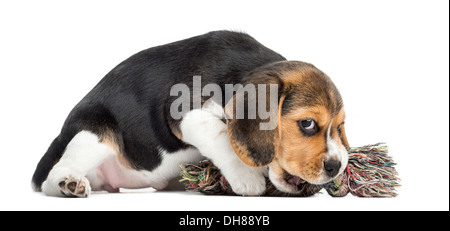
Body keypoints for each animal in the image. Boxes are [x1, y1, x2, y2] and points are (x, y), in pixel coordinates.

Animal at [32, 30, 348, 197]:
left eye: (340, 127)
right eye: (307, 124)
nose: (336, 166)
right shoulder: (185, 114)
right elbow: (221, 134)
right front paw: (246, 177)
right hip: (93, 133)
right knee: (52, 177)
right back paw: (68, 184)